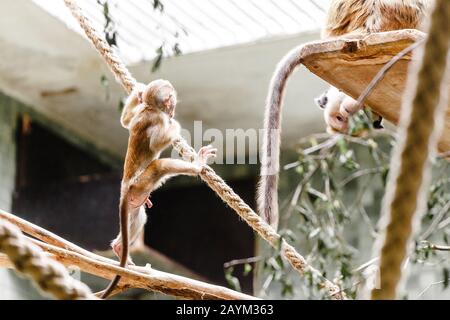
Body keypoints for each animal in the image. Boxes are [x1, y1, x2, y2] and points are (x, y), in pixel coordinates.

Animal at [101, 79, 216, 298]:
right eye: (171, 102)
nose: (173, 109)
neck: (150, 108)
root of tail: (125, 186)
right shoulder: (158, 119)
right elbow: (156, 142)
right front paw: (175, 125)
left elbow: (126, 121)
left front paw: (138, 92)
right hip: (141, 182)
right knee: (159, 166)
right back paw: (197, 165)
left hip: (136, 194)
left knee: (139, 217)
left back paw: (119, 248)